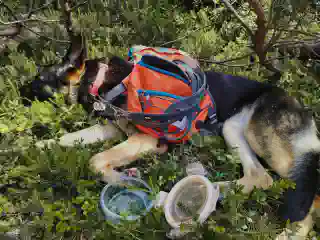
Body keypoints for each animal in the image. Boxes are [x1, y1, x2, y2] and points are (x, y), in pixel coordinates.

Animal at [19, 34, 320, 239]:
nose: (18, 92)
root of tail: (301, 109)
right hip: (232, 129)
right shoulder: (114, 128)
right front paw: (38, 145)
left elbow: (96, 159)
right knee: (259, 177)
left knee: (301, 191)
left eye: (38, 79)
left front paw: (122, 181)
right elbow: (72, 137)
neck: (102, 80)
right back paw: (203, 195)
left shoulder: (144, 140)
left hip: (267, 142)